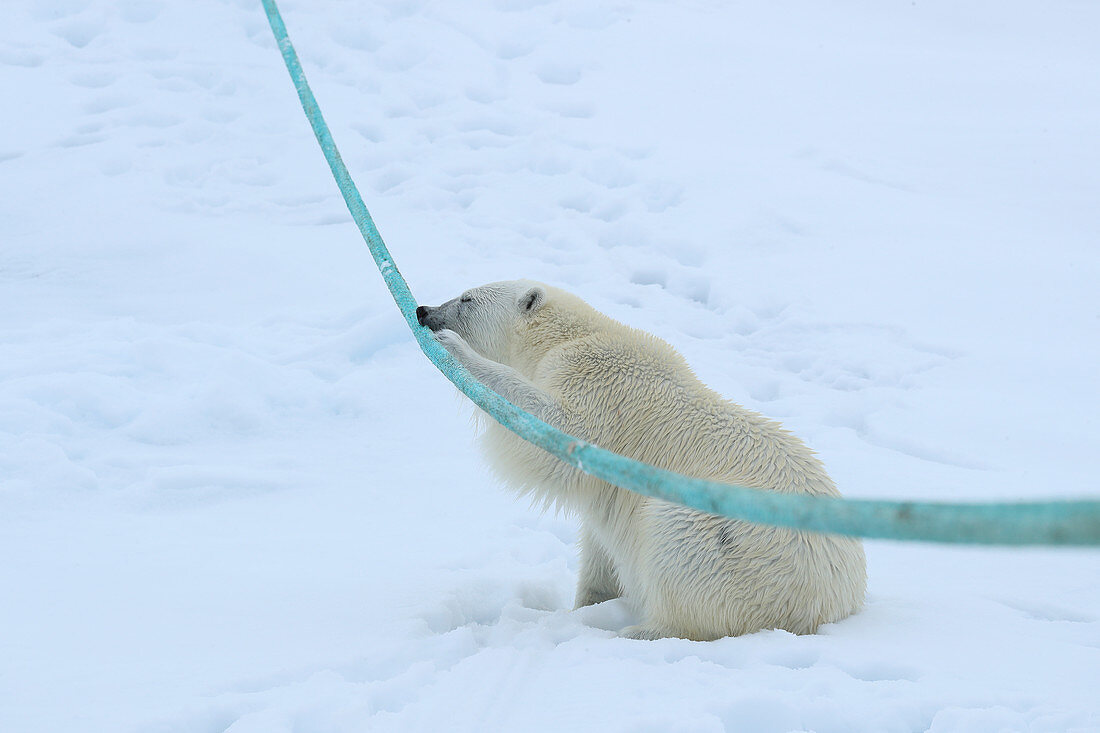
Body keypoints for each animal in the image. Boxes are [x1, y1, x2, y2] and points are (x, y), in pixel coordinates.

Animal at [418, 277, 866, 638]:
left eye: (467, 298)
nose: (424, 312)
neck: (570, 336)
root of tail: (832, 603)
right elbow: (599, 544)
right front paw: (590, 602)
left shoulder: (597, 387)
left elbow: (554, 431)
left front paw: (456, 351)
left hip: (737, 543)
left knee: (675, 541)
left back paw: (640, 631)